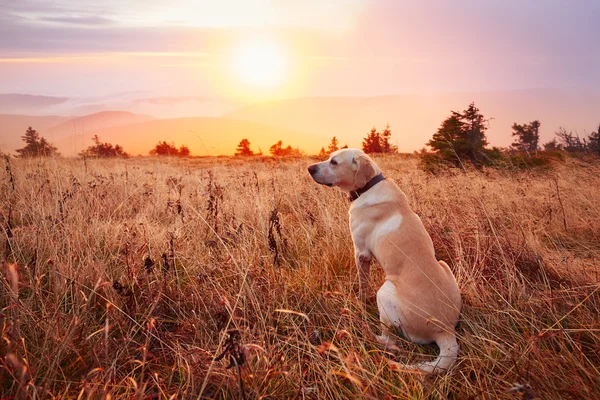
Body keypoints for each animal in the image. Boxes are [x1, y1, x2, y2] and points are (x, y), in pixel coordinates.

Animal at [308, 148, 462, 374]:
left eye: (334, 162)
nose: (309, 168)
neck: (369, 186)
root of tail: (446, 330)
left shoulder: (361, 254)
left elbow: (362, 286)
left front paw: (359, 301)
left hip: (385, 291)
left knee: (391, 341)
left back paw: (367, 334)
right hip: (444, 265)